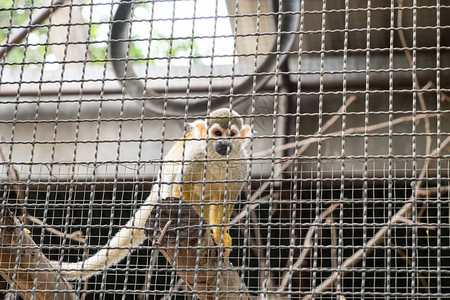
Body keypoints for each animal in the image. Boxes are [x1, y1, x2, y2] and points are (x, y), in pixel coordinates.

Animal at [54, 109, 251, 280]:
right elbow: (182, 186)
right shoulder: (196, 155)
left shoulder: (240, 164)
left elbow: (224, 200)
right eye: (217, 133)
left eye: (231, 134)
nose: (224, 143)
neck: (217, 158)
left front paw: (220, 236)